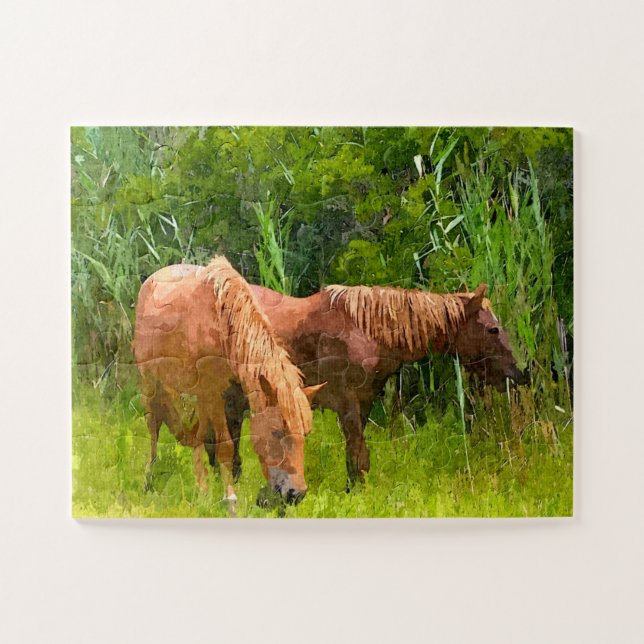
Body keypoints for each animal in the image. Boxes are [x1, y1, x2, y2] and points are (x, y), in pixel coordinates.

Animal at [132, 256, 323, 511]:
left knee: (198, 436)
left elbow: (229, 451)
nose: (296, 494)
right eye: (276, 432)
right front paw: (230, 500)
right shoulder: (213, 394)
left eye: (306, 433)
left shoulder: (234, 398)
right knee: (154, 431)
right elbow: (225, 447)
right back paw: (149, 481)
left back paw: (202, 489)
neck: (223, 328)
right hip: (151, 386)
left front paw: (216, 491)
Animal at [223, 280, 526, 487]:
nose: (520, 373)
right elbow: (357, 454)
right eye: (493, 329)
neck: (366, 330)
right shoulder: (347, 402)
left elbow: (358, 456)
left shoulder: (365, 402)